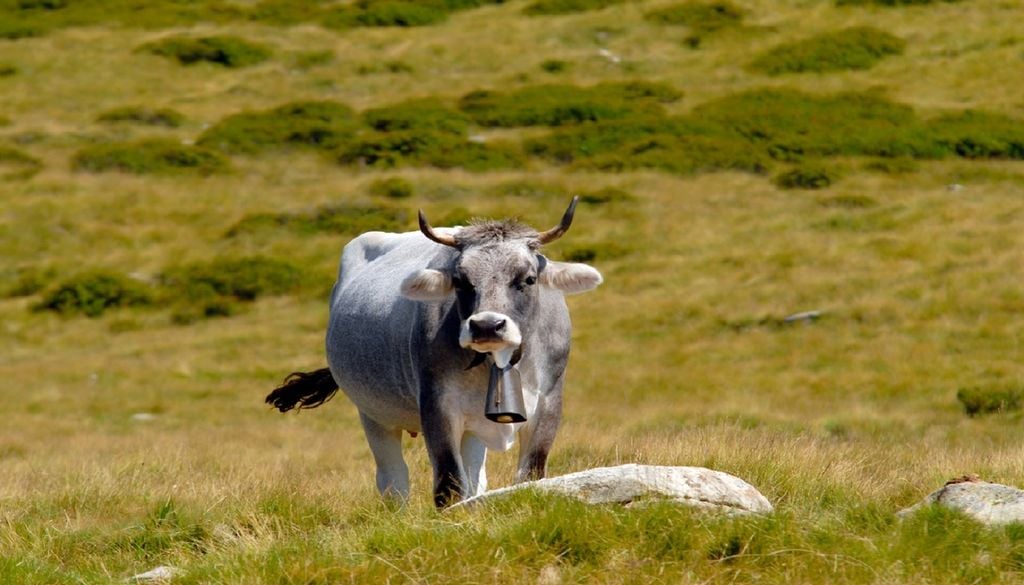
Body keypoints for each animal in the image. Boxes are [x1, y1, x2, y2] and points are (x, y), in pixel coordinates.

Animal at [265, 198, 602, 507]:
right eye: (461, 281)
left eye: (529, 279)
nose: (486, 326)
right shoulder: (437, 404)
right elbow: (449, 484)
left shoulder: (548, 402)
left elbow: (529, 475)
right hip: (373, 414)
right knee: (393, 481)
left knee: (475, 478)